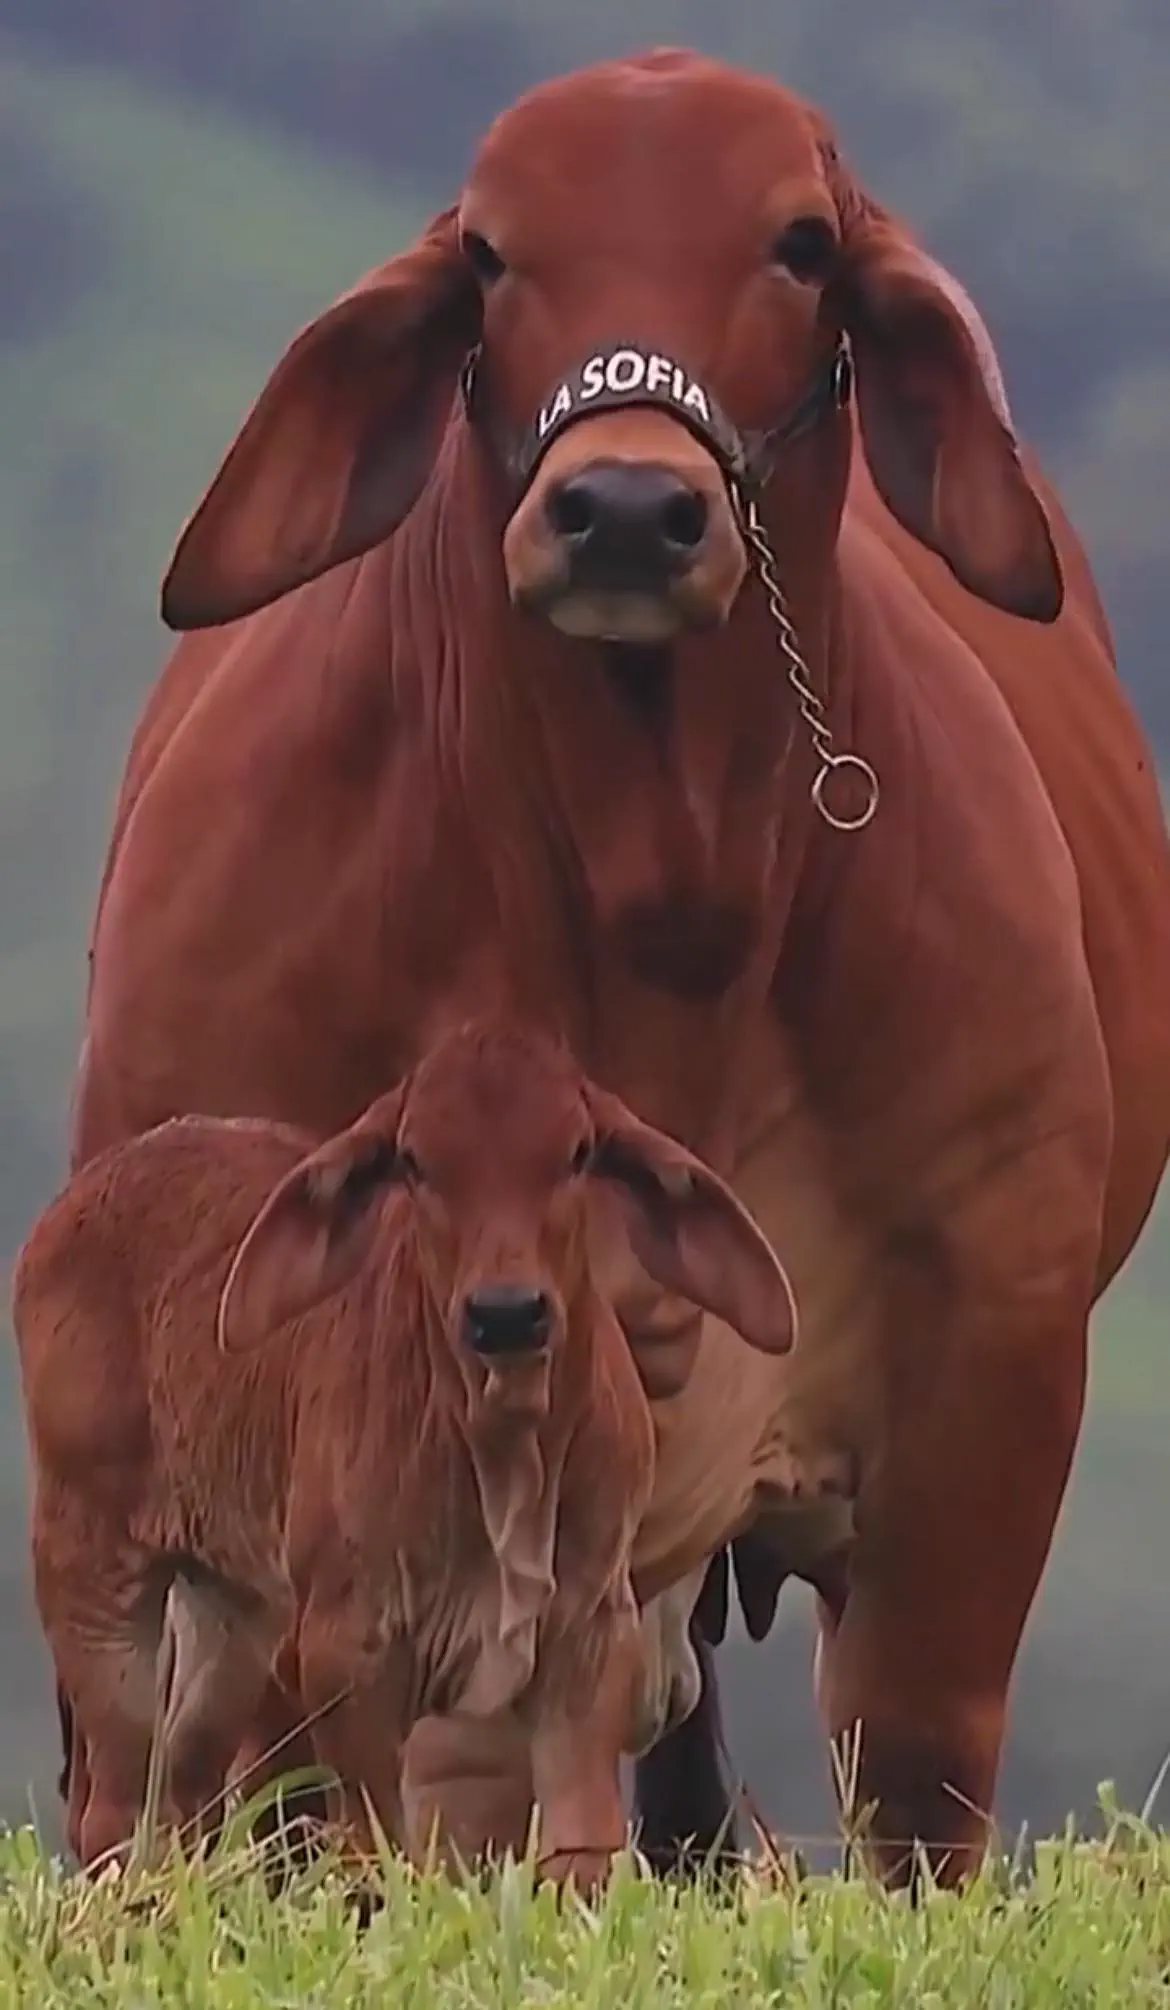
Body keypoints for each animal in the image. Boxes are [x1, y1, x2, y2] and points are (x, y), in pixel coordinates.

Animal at [15, 1019, 797, 1885]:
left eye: (578, 1151)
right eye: (416, 1162)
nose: (506, 1315)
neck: (504, 1456)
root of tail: (76, 1206)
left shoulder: (588, 1640)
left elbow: (581, 1846)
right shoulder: (342, 1654)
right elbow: (373, 1847)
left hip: (233, 1607)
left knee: (186, 1781)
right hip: (90, 1571)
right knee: (115, 1809)